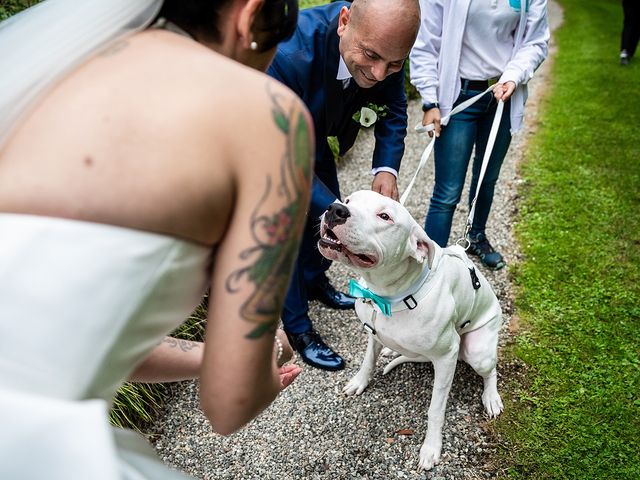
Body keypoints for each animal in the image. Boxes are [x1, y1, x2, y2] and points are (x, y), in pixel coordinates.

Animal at [318, 190, 502, 468]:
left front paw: (431, 448)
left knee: (490, 372)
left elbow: (435, 409)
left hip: (477, 352)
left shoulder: (446, 357)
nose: (336, 209)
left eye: (385, 216)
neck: (387, 296)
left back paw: (491, 397)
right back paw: (391, 351)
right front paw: (359, 382)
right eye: (348, 201)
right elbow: (368, 361)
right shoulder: (372, 333)